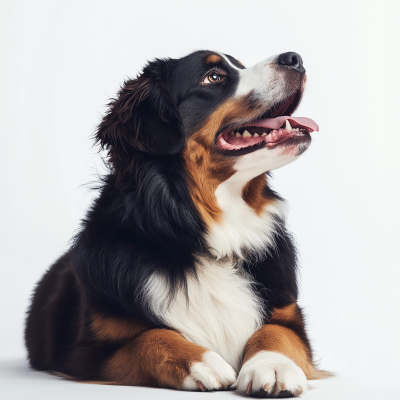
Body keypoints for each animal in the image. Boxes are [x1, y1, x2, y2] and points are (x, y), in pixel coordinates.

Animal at [26, 50, 330, 396]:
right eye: (213, 77)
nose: (294, 58)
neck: (206, 237)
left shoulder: (289, 317)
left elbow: (276, 333)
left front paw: (273, 366)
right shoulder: (89, 352)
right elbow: (150, 337)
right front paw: (201, 361)